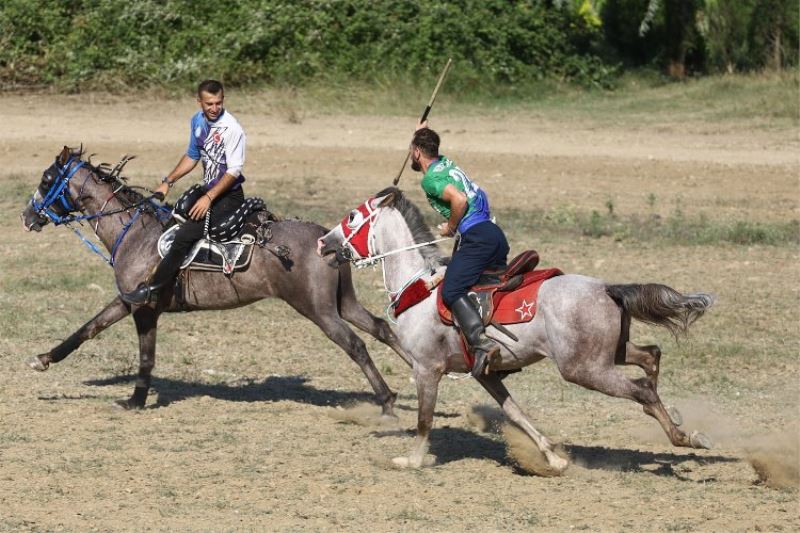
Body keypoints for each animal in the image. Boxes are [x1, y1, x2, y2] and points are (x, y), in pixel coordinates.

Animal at [21, 148, 410, 414]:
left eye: (46, 179)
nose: (27, 215)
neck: (134, 233)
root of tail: (326, 239)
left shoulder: (141, 306)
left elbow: (137, 352)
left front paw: (134, 399)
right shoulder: (133, 302)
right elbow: (94, 330)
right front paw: (45, 359)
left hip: (319, 309)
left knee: (355, 344)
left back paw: (387, 400)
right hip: (342, 302)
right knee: (381, 328)